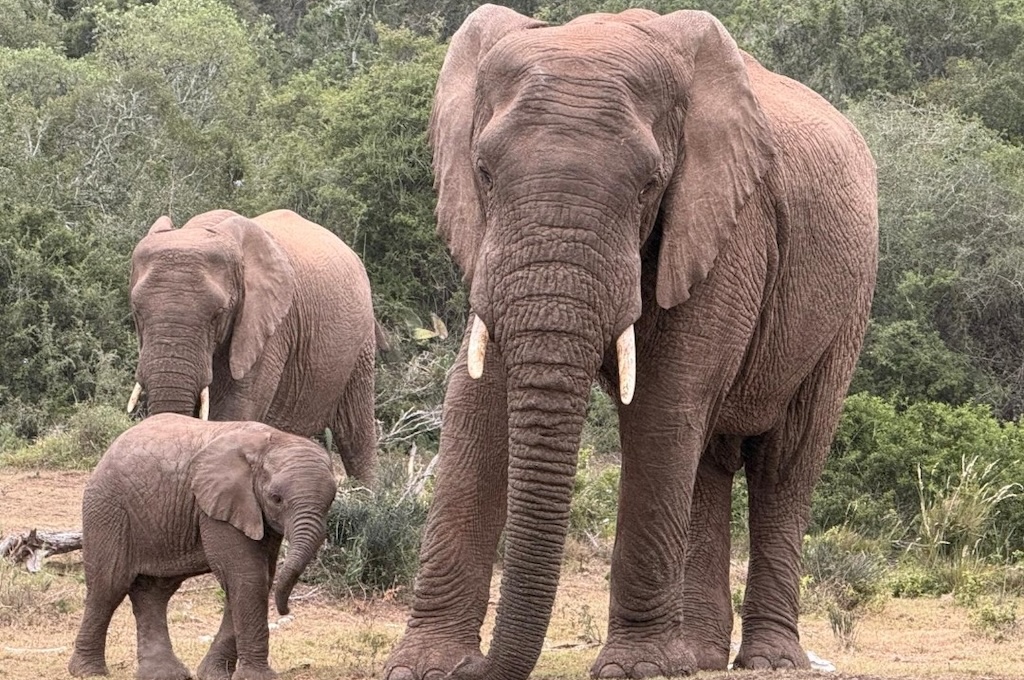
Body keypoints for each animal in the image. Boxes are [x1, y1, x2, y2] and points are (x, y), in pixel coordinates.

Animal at [67, 413, 338, 680]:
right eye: (276, 498)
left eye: (331, 500)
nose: (285, 610)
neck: (274, 440)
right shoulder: (218, 506)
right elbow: (246, 576)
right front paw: (257, 677)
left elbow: (257, 578)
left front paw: (214, 674)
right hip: (108, 508)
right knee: (108, 586)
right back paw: (89, 672)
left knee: (154, 592)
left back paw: (165, 674)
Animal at [127, 208, 381, 485]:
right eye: (136, 310)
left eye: (218, 314)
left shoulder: (268, 328)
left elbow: (236, 410)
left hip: (361, 346)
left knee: (356, 435)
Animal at [384, 5, 878, 680]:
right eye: (483, 173)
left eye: (649, 185)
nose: (478, 667)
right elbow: (475, 399)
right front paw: (426, 666)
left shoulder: (727, 228)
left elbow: (662, 405)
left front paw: (637, 668)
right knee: (708, 461)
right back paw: (697, 656)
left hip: (849, 302)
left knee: (783, 462)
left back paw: (769, 661)